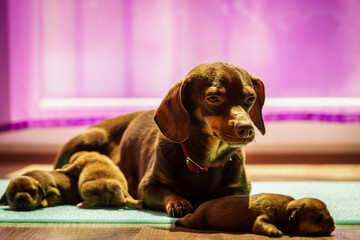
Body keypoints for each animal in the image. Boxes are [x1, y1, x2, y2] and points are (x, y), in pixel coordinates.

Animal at [173, 193, 336, 236]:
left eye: (328, 213)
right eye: (316, 218)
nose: (331, 220)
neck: (285, 209)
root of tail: (200, 205)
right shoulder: (262, 218)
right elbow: (262, 224)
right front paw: (275, 231)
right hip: (197, 220)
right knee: (187, 220)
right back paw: (177, 221)